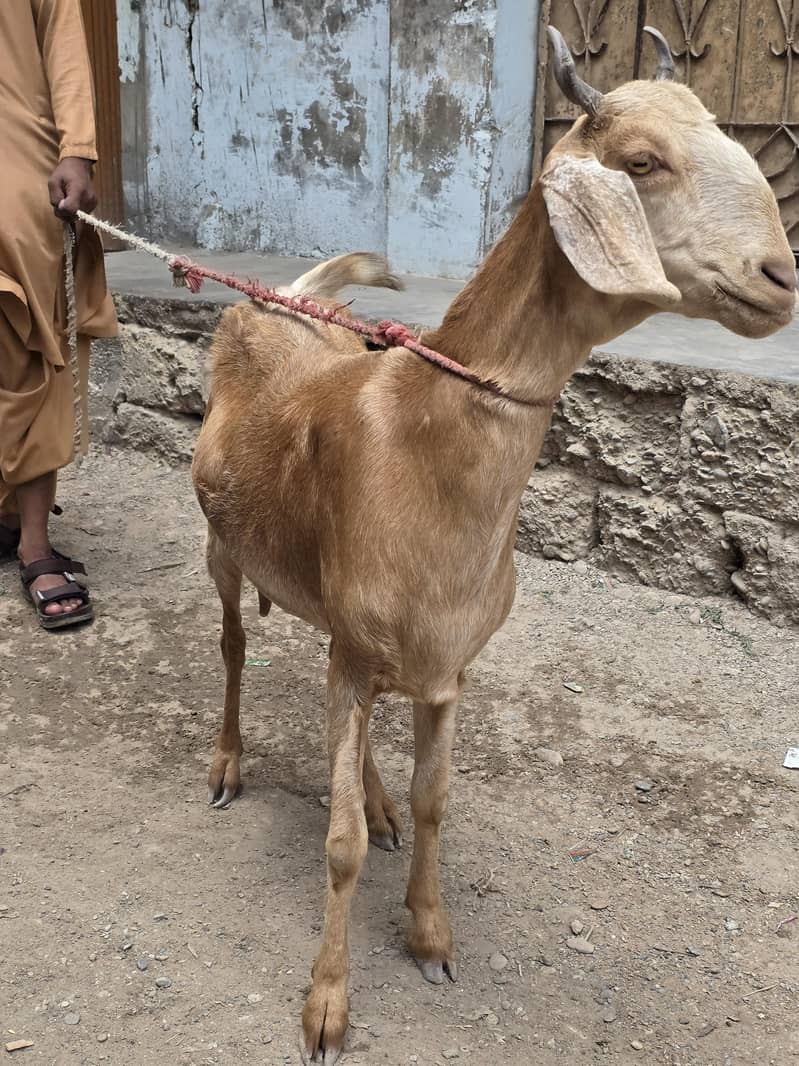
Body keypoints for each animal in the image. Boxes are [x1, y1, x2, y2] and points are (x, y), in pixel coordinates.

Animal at [191, 26, 796, 1064]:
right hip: (221, 548)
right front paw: (326, 1005)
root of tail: (273, 300)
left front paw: (431, 934)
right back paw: (230, 765)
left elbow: (437, 800)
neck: (417, 440)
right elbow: (338, 847)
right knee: (233, 645)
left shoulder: (447, 667)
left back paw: (377, 796)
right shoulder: (360, 648)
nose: (779, 279)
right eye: (642, 162)